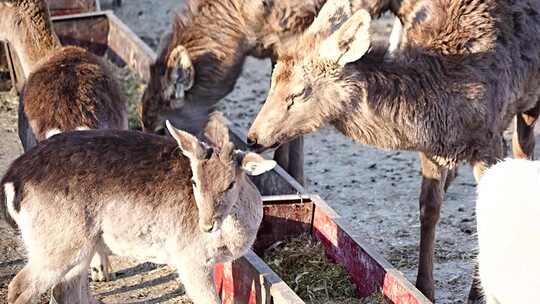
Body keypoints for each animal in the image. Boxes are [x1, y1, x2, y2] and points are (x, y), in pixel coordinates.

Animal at [1, 114, 274, 304]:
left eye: (230, 183)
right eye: (195, 181)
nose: (206, 224)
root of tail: (12, 180)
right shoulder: (189, 258)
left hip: (78, 248)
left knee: (65, 290)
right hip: (58, 242)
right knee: (19, 287)